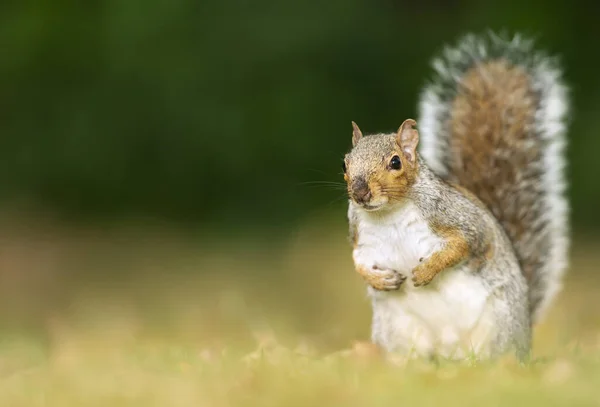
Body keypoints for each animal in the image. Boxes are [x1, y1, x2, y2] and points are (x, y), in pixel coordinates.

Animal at [344, 33, 568, 362]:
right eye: (344, 164)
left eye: (395, 162)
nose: (360, 193)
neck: (389, 214)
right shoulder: (362, 238)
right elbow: (358, 262)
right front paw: (379, 280)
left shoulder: (455, 216)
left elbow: (466, 243)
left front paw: (427, 270)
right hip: (398, 331)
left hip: (496, 328)